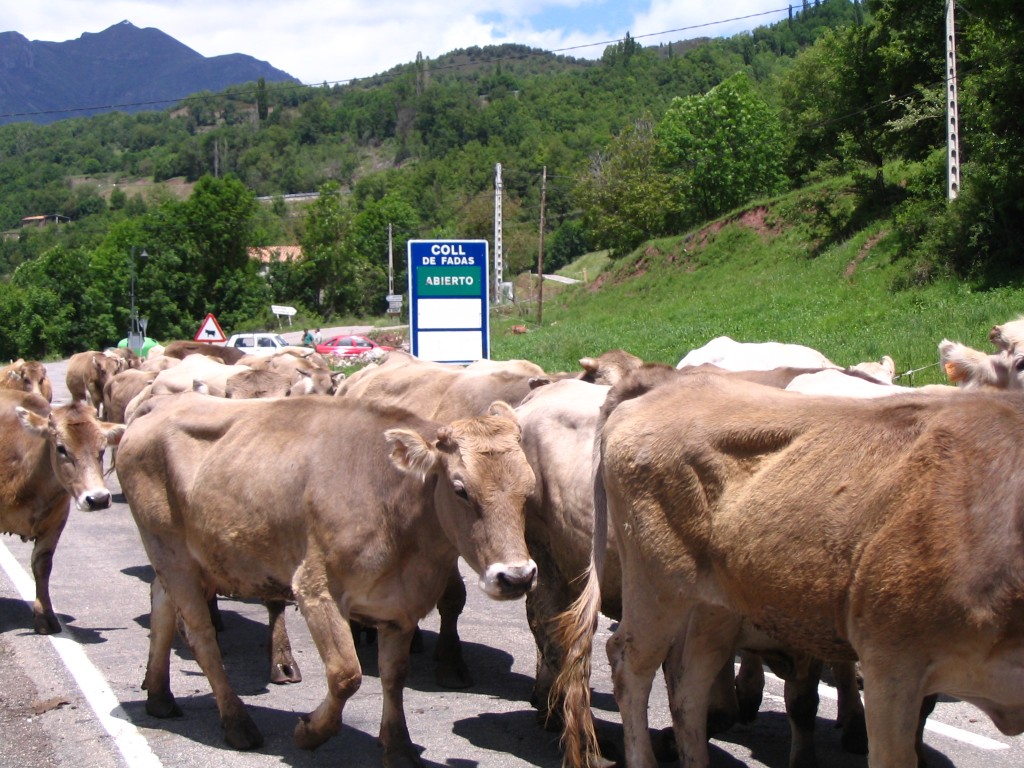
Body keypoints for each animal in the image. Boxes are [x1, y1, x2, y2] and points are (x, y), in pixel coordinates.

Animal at [1, 393, 124, 634]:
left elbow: (42, 564)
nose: (98, 499)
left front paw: (45, 617)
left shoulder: (56, 521)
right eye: (61, 448)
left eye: (102, 450)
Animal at [116, 393, 540, 761]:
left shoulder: (400, 607)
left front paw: (398, 747)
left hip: (179, 559)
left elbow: (394, 676)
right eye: (460, 489)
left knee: (161, 603)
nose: (517, 577)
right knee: (202, 638)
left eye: (530, 489)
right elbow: (346, 675)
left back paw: (159, 695)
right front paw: (310, 733)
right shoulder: (315, 590)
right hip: (172, 553)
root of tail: (161, 403)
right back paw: (237, 723)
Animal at [557, 376, 1024, 768]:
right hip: (657, 584)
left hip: (715, 605)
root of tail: (656, 392)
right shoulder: (892, 663)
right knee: (630, 664)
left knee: (689, 682)